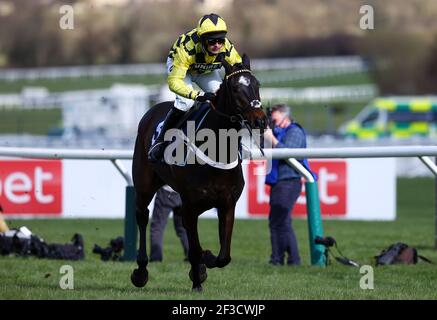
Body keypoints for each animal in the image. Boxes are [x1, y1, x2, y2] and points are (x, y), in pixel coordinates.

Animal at [130, 55, 266, 292]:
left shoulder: (227, 204)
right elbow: (194, 248)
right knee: (142, 216)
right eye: (235, 88)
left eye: (256, 85)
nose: (260, 120)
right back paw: (141, 271)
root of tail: (151, 111)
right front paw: (197, 279)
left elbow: (224, 256)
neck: (217, 151)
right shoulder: (190, 207)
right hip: (144, 184)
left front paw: (205, 263)